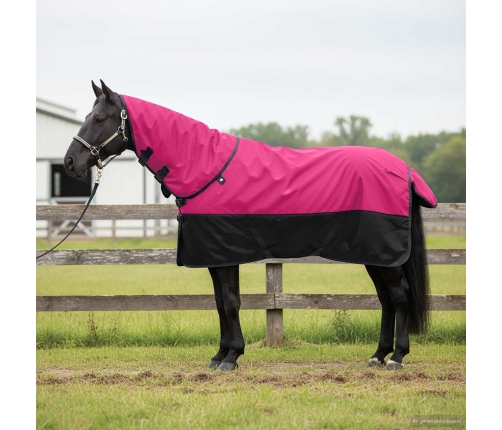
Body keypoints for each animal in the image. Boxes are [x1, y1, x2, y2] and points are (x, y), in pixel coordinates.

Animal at [63, 80, 437, 371]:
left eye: (99, 118)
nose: (70, 162)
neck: (206, 168)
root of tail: (404, 170)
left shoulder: (226, 254)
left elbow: (230, 302)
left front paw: (231, 358)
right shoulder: (213, 256)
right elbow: (219, 303)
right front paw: (219, 356)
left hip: (384, 254)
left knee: (399, 296)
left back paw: (397, 358)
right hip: (375, 255)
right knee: (386, 299)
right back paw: (377, 356)